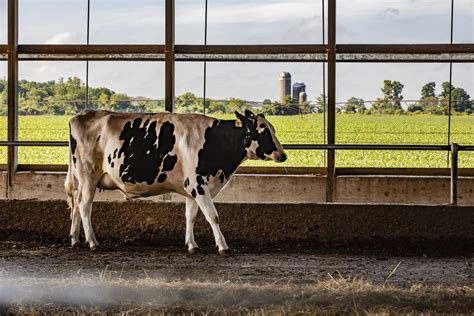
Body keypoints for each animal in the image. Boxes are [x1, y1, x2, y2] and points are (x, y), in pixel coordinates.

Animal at [65, 108, 286, 254]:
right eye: (263, 131)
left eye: (273, 129)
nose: (283, 155)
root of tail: (80, 115)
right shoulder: (199, 184)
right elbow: (213, 216)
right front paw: (223, 246)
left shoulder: (192, 188)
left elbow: (191, 216)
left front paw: (192, 245)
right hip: (88, 174)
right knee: (84, 205)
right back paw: (92, 242)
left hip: (81, 178)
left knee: (76, 202)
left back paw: (75, 239)